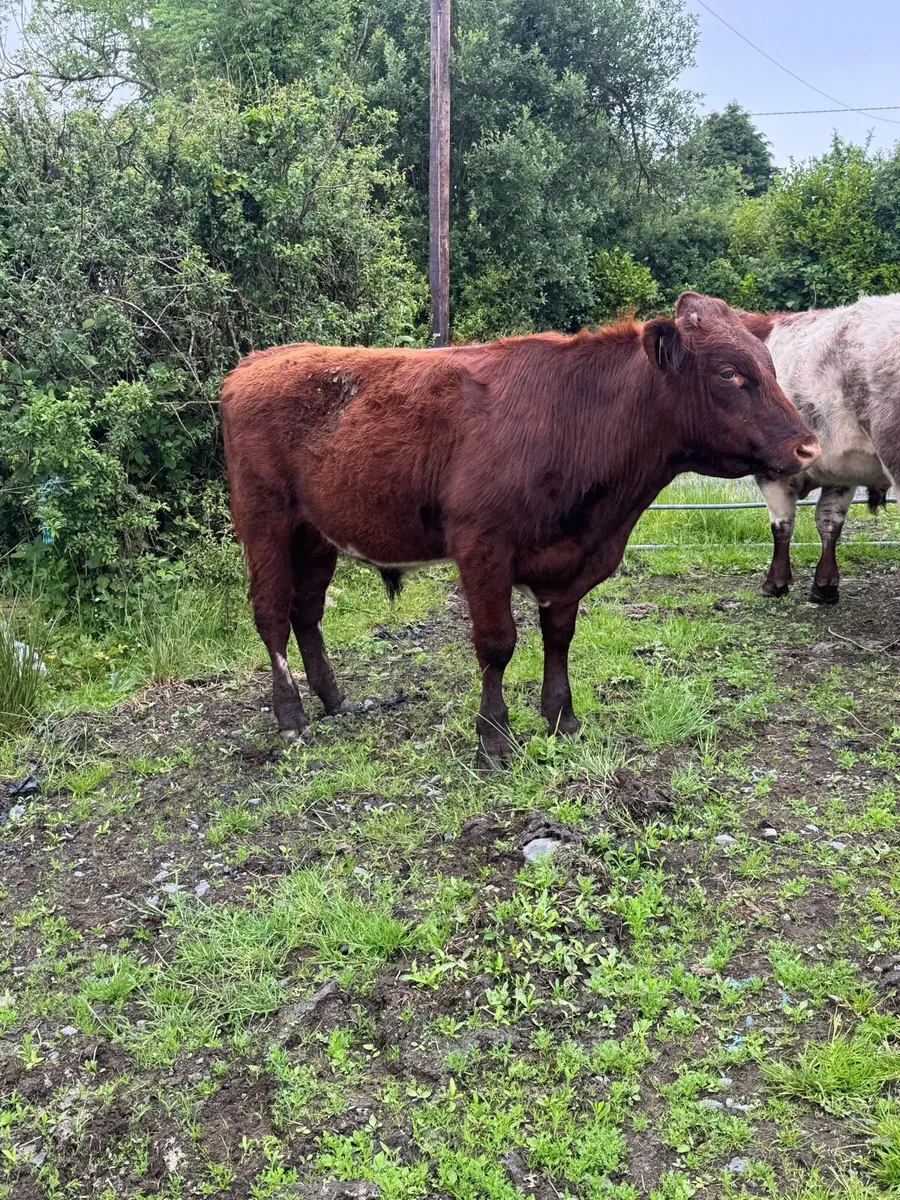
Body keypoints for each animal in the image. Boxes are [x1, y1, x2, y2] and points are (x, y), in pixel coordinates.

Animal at [221, 291, 819, 762]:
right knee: (271, 615)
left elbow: (559, 636)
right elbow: (497, 644)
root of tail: (257, 362)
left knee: (306, 613)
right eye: (729, 373)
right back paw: (292, 717)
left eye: (768, 365)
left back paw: (334, 699)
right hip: (264, 521)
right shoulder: (482, 547)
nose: (807, 446)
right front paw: (494, 738)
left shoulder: (572, 560)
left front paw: (562, 719)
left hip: (316, 534)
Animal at [742, 294, 900, 604]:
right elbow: (829, 521)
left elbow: (781, 522)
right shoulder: (842, 470)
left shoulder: (771, 469)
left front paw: (775, 583)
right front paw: (825, 586)